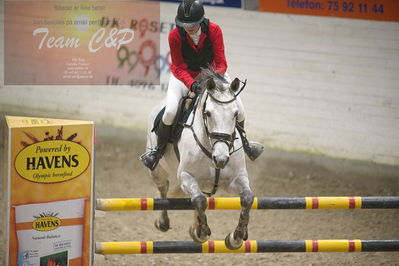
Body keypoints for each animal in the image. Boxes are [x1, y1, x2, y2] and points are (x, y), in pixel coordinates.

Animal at [145, 69, 255, 249]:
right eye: (208, 113)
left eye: (235, 114)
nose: (221, 159)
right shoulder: (186, 176)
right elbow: (200, 201)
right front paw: (202, 231)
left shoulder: (236, 178)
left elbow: (247, 198)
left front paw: (236, 237)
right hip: (157, 170)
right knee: (164, 189)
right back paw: (164, 222)